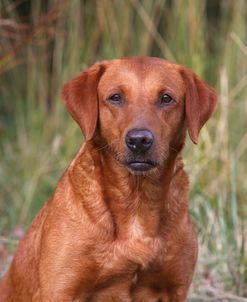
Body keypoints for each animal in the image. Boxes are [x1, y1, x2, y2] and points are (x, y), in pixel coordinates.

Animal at [0, 57, 216, 302]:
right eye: (115, 97)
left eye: (166, 98)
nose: (139, 140)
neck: (136, 200)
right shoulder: (61, 290)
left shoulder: (174, 289)